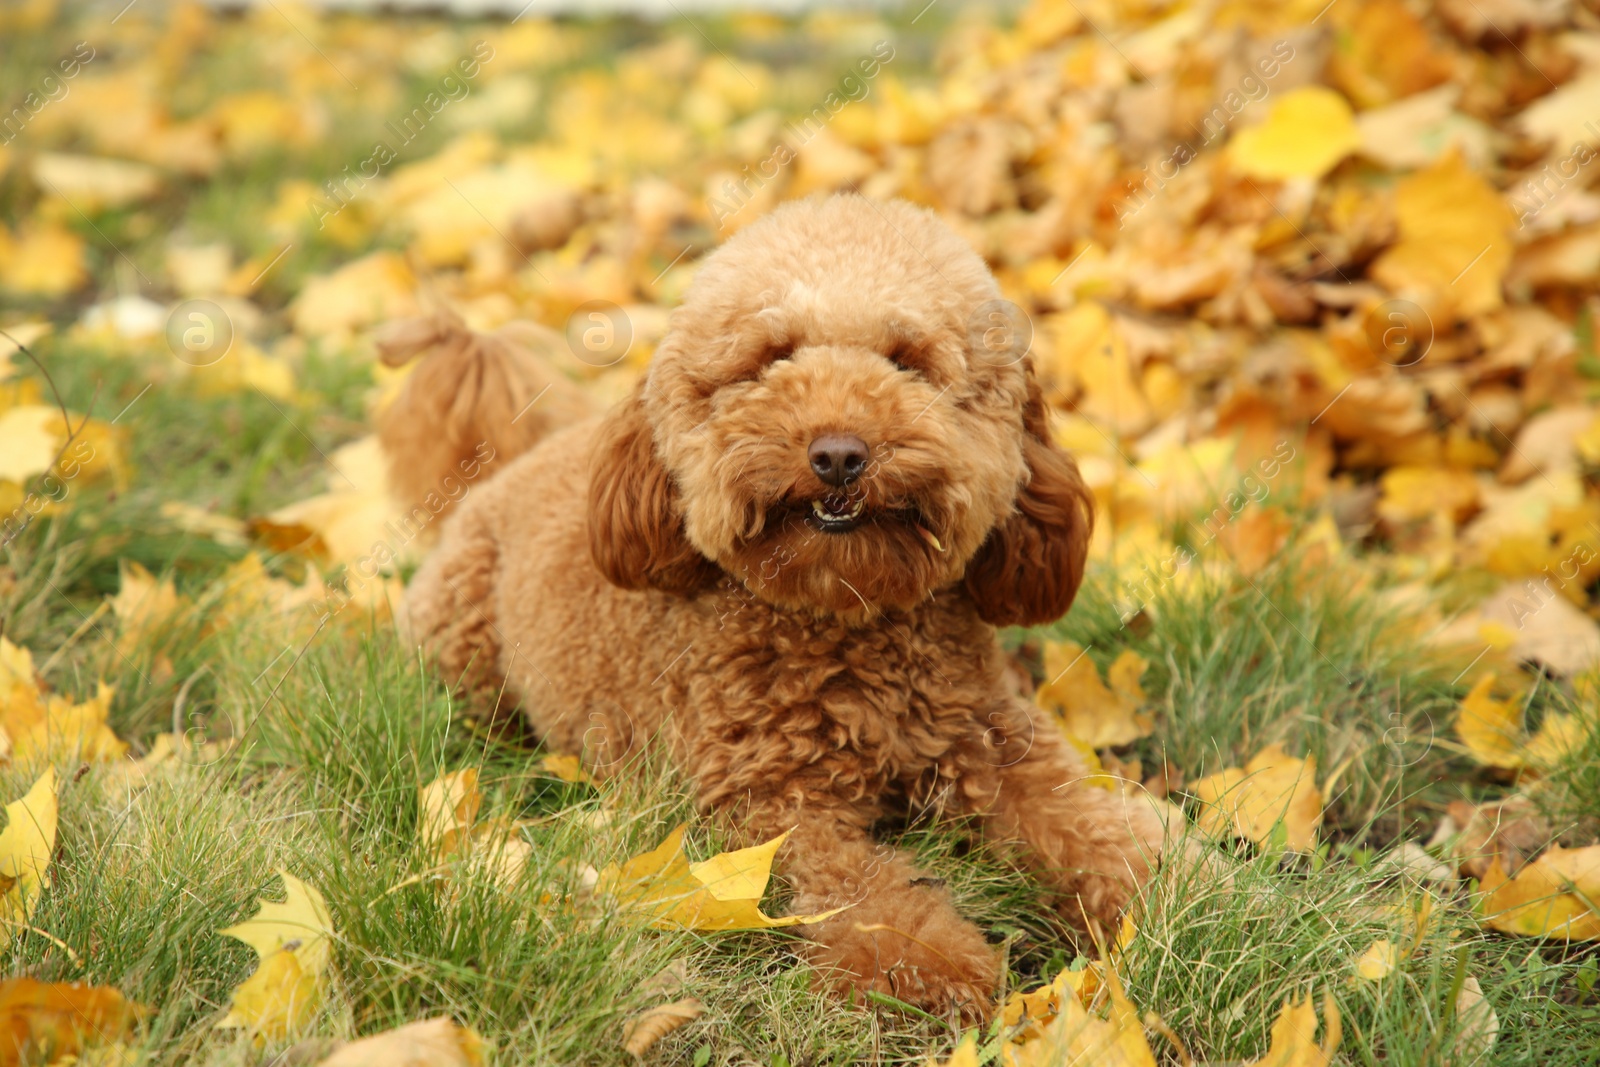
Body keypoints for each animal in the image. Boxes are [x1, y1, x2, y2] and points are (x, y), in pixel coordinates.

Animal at [393, 195, 1171, 1023]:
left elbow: (1083, 825)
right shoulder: (767, 806)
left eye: (909, 361)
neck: (848, 623)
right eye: (771, 358)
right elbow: (861, 890)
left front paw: (1177, 890)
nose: (838, 453)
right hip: (464, 646)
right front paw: (925, 969)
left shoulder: (995, 741)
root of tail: (511, 466)